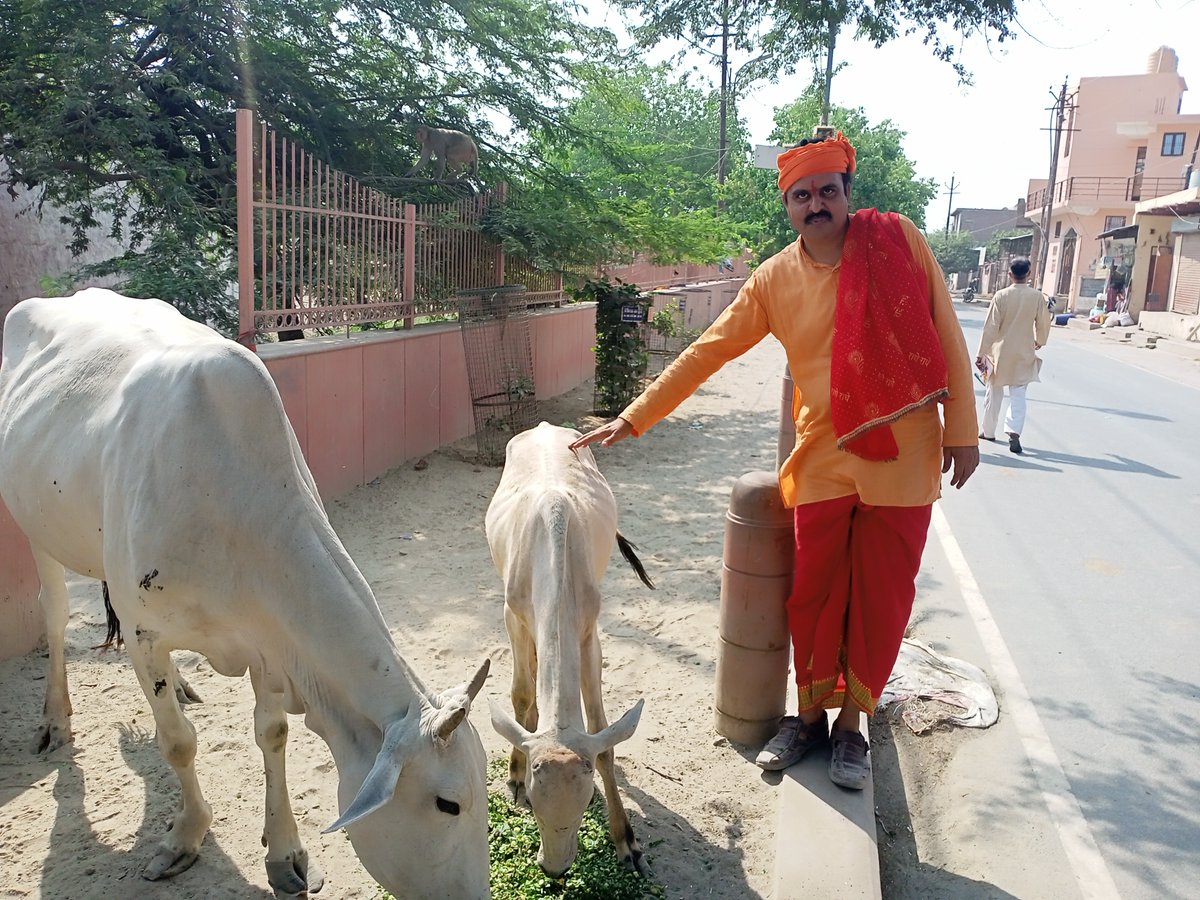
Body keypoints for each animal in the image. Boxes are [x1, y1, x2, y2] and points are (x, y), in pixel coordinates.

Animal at [0, 292, 492, 897]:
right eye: (448, 804)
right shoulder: (144, 634)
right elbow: (178, 742)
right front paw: (184, 837)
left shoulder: (268, 641)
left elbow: (273, 734)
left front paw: (286, 853)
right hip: (35, 526)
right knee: (54, 613)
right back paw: (55, 719)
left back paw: (180, 684)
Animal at [484, 422, 657, 883]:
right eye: (535, 805)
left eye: (580, 811)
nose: (555, 868)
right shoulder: (512, 613)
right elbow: (520, 695)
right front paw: (514, 774)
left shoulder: (588, 631)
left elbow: (603, 736)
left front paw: (627, 842)